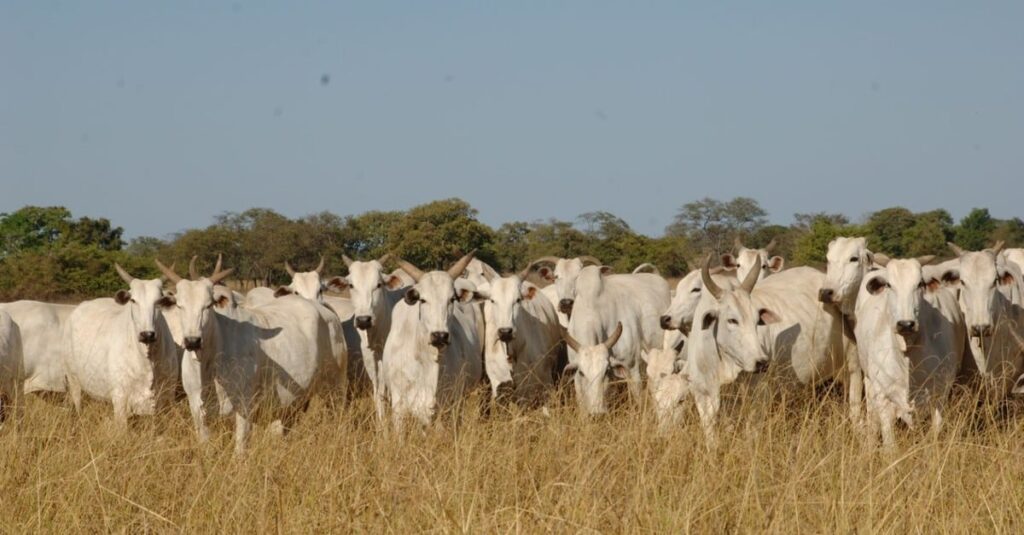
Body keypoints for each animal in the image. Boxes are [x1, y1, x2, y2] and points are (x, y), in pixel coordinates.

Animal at [61, 264, 179, 424]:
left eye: (158, 301)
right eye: (133, 300)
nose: (147, 334)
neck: (148, 359)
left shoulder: (167, 396)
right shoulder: (120, 400)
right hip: (73, 379)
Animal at [860, 255, 962, 444]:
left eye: (920, 284)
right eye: (889, 284)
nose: (906, 324)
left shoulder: (940, 394)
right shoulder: (883, 397)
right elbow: (889, 443)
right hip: (869, 384)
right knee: (872, 424)